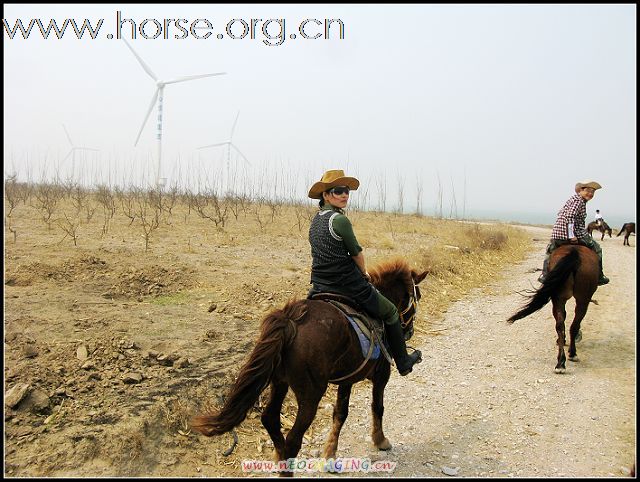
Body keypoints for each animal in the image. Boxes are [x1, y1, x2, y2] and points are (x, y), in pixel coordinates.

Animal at [192, 260, 428, 474]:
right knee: (293, 440)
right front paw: (381, 441)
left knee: (270, 419)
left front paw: (330, 454)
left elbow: (340, 414)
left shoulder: (347, 379)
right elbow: (377, 408)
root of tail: (290, 320)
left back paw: (279, 457)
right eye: (417, 296)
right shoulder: (381, 375)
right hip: (311, 394)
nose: (409, 332)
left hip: (280, 382)